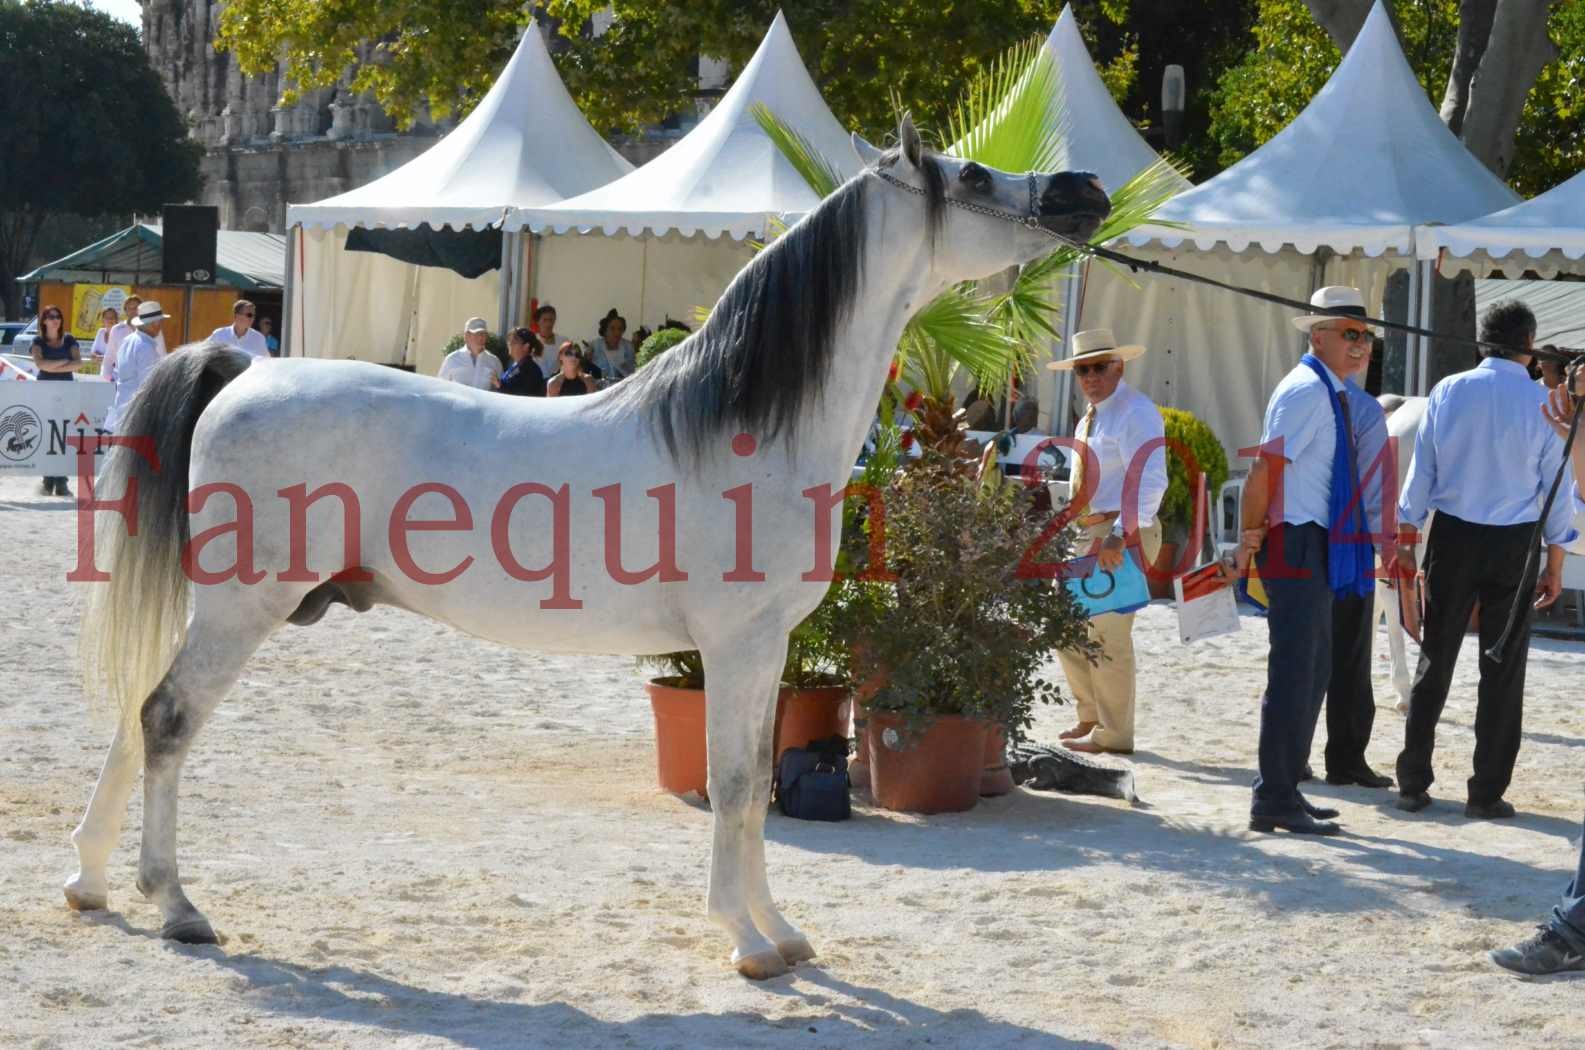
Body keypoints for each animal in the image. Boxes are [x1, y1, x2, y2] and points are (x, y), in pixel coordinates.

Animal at [58, 118, 1103, 983]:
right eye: (974, 173)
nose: (1083, 187)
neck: (747, 425)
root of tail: (244, 367)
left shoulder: (768, 650)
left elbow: (753, 789)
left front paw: (780, 931)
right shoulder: (737, 645)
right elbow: (732, 785)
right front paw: (746, 941)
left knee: (138, 714)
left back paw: (91, 883)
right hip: (245, 606)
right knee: (167, 720)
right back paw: (177, 905)